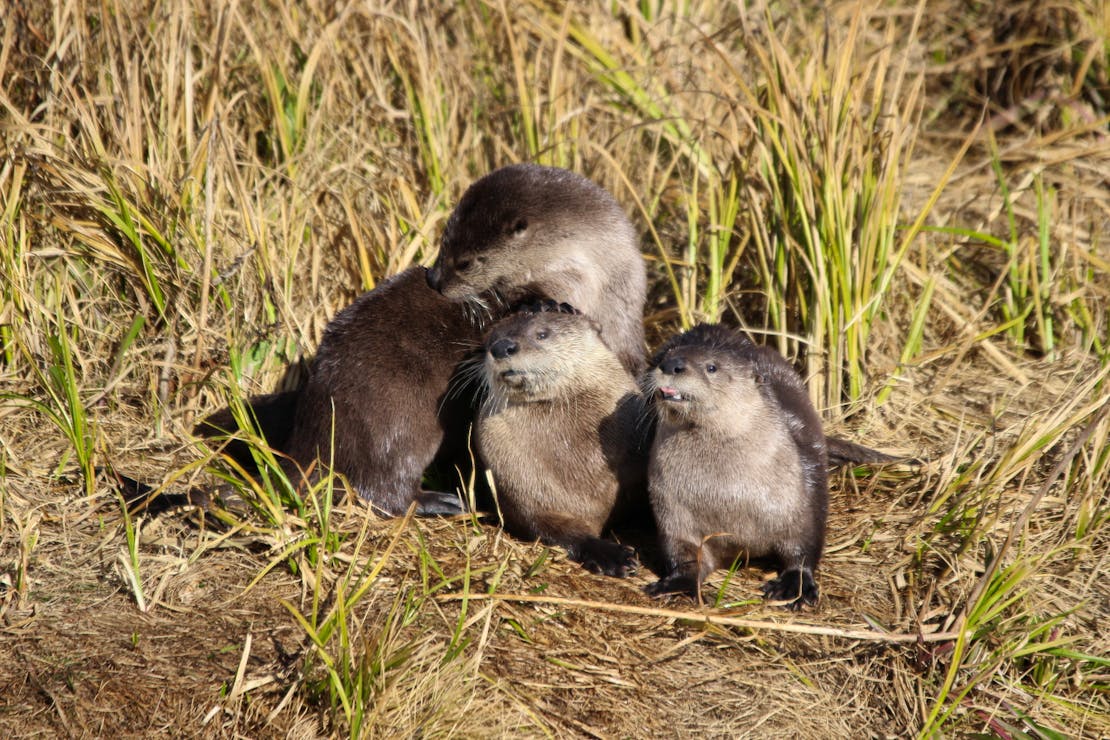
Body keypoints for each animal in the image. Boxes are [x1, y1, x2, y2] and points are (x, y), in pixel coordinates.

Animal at [475, 301, 643, 576]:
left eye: (542, 334)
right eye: (489, 339)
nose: (500, 347)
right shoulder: (520, 486)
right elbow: (555, 529)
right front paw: (612, 556)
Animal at [639, 323, 830, 607]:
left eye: (712, 367)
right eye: (664, 356)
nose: (671, 365)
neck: (727, 495)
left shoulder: (801, 495)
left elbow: (805, 542)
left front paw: (795, 583)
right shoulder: (673, 513)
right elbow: (684, 552)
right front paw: (678, 583)